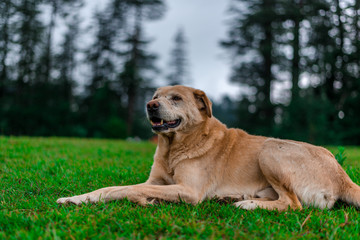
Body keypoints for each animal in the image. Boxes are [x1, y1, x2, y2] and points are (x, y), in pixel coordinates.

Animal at [57, 85, 360, 211]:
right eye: (155, 96)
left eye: (176, 98)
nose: (150, 105)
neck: (175, 148)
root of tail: (343, 177)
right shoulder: (157, 181)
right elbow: (114, 188)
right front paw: (76, 198)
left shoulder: (189, 190)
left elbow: (127, 190)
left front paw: (143, 200)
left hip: (271, 149)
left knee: (292, 204)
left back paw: (248, 204)